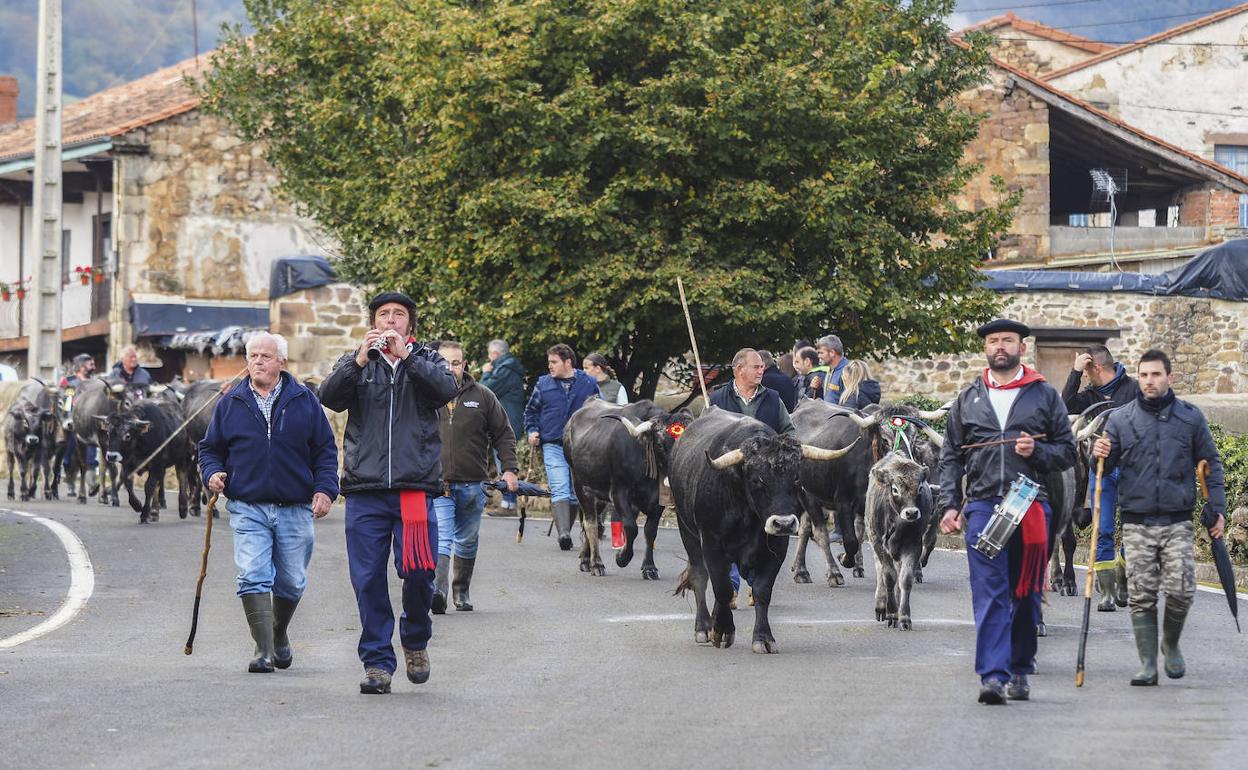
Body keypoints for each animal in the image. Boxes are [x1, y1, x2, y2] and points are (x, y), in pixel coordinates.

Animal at [564, 399, 693, 574]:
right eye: (660, 444)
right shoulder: (619, 493)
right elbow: (631, 528)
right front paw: (622, 558)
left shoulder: (658, 500)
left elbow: (650, 532)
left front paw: (649, 567)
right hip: (580, 485)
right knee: (591, 523)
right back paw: (596, 563)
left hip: (599, 494)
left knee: (592, 522)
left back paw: (585, 559)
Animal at [673, 404, 858, 653]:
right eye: (757, 480)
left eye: (796, 477)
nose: (784, 523)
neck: (748, 515)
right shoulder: (712, 546)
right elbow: (722, 588)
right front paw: (722, 630)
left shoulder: (776, 550)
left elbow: (762, 591)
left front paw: (763, 638)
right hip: (688, 533)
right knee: (700, 577)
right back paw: (703, 627)